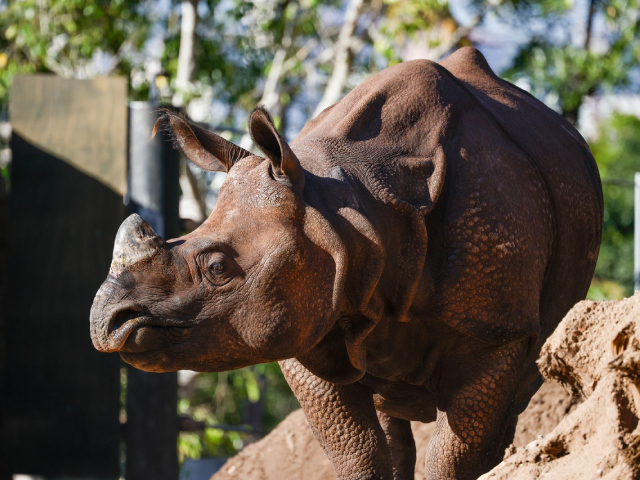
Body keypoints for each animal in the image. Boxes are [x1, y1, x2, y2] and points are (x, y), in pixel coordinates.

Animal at [90, 48, 602, 480]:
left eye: (217, 268)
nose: (107, 321)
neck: (350, 209)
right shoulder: (308, 319)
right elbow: (357, 453)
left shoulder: (495, 328)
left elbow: (453, 456)